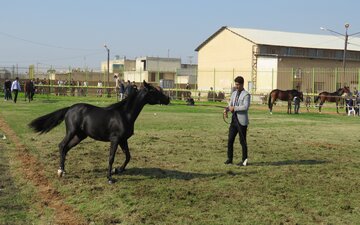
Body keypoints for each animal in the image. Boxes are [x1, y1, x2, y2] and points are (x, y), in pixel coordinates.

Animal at [28, 81, 170, 184]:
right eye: (154, 91)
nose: (168, 99)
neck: (124, 115)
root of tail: (69, 109)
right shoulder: (115, 139)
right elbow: (111, 157)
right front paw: (110, 178)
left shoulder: (123, 140)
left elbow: (128, 156)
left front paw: (117, 170)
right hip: (71, 132)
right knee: (62, 145)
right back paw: (60, 171)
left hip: (79, 136)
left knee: (66, 148)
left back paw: (64, 170)